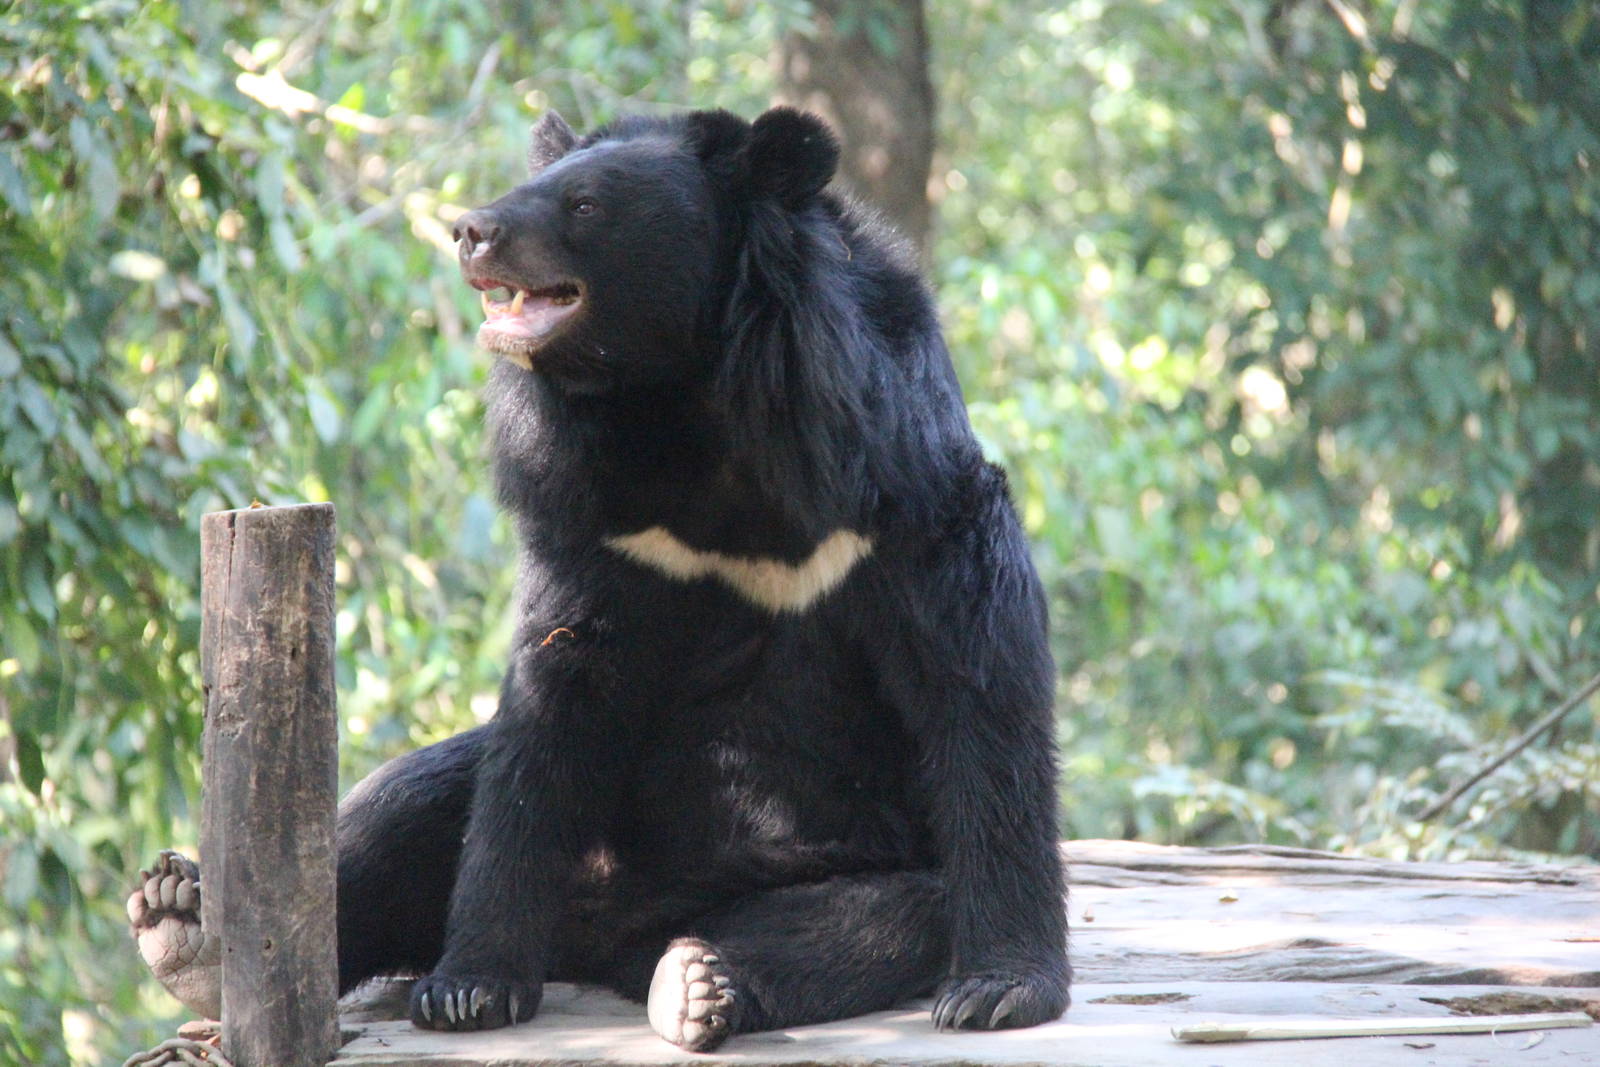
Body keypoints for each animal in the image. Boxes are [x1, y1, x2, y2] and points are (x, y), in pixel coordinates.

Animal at [129, 105, 1070, 1052]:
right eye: (527, 186)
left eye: (583, 204)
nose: (470, 230)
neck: (690, 399)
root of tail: (603, 933)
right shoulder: (599, 521)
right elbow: (550, 706)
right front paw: (468, 989)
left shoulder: (895, 498)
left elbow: (975, 690)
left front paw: (998, 991)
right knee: (405, 804)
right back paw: (182, 918)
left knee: (884, 915)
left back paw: (697, 979)